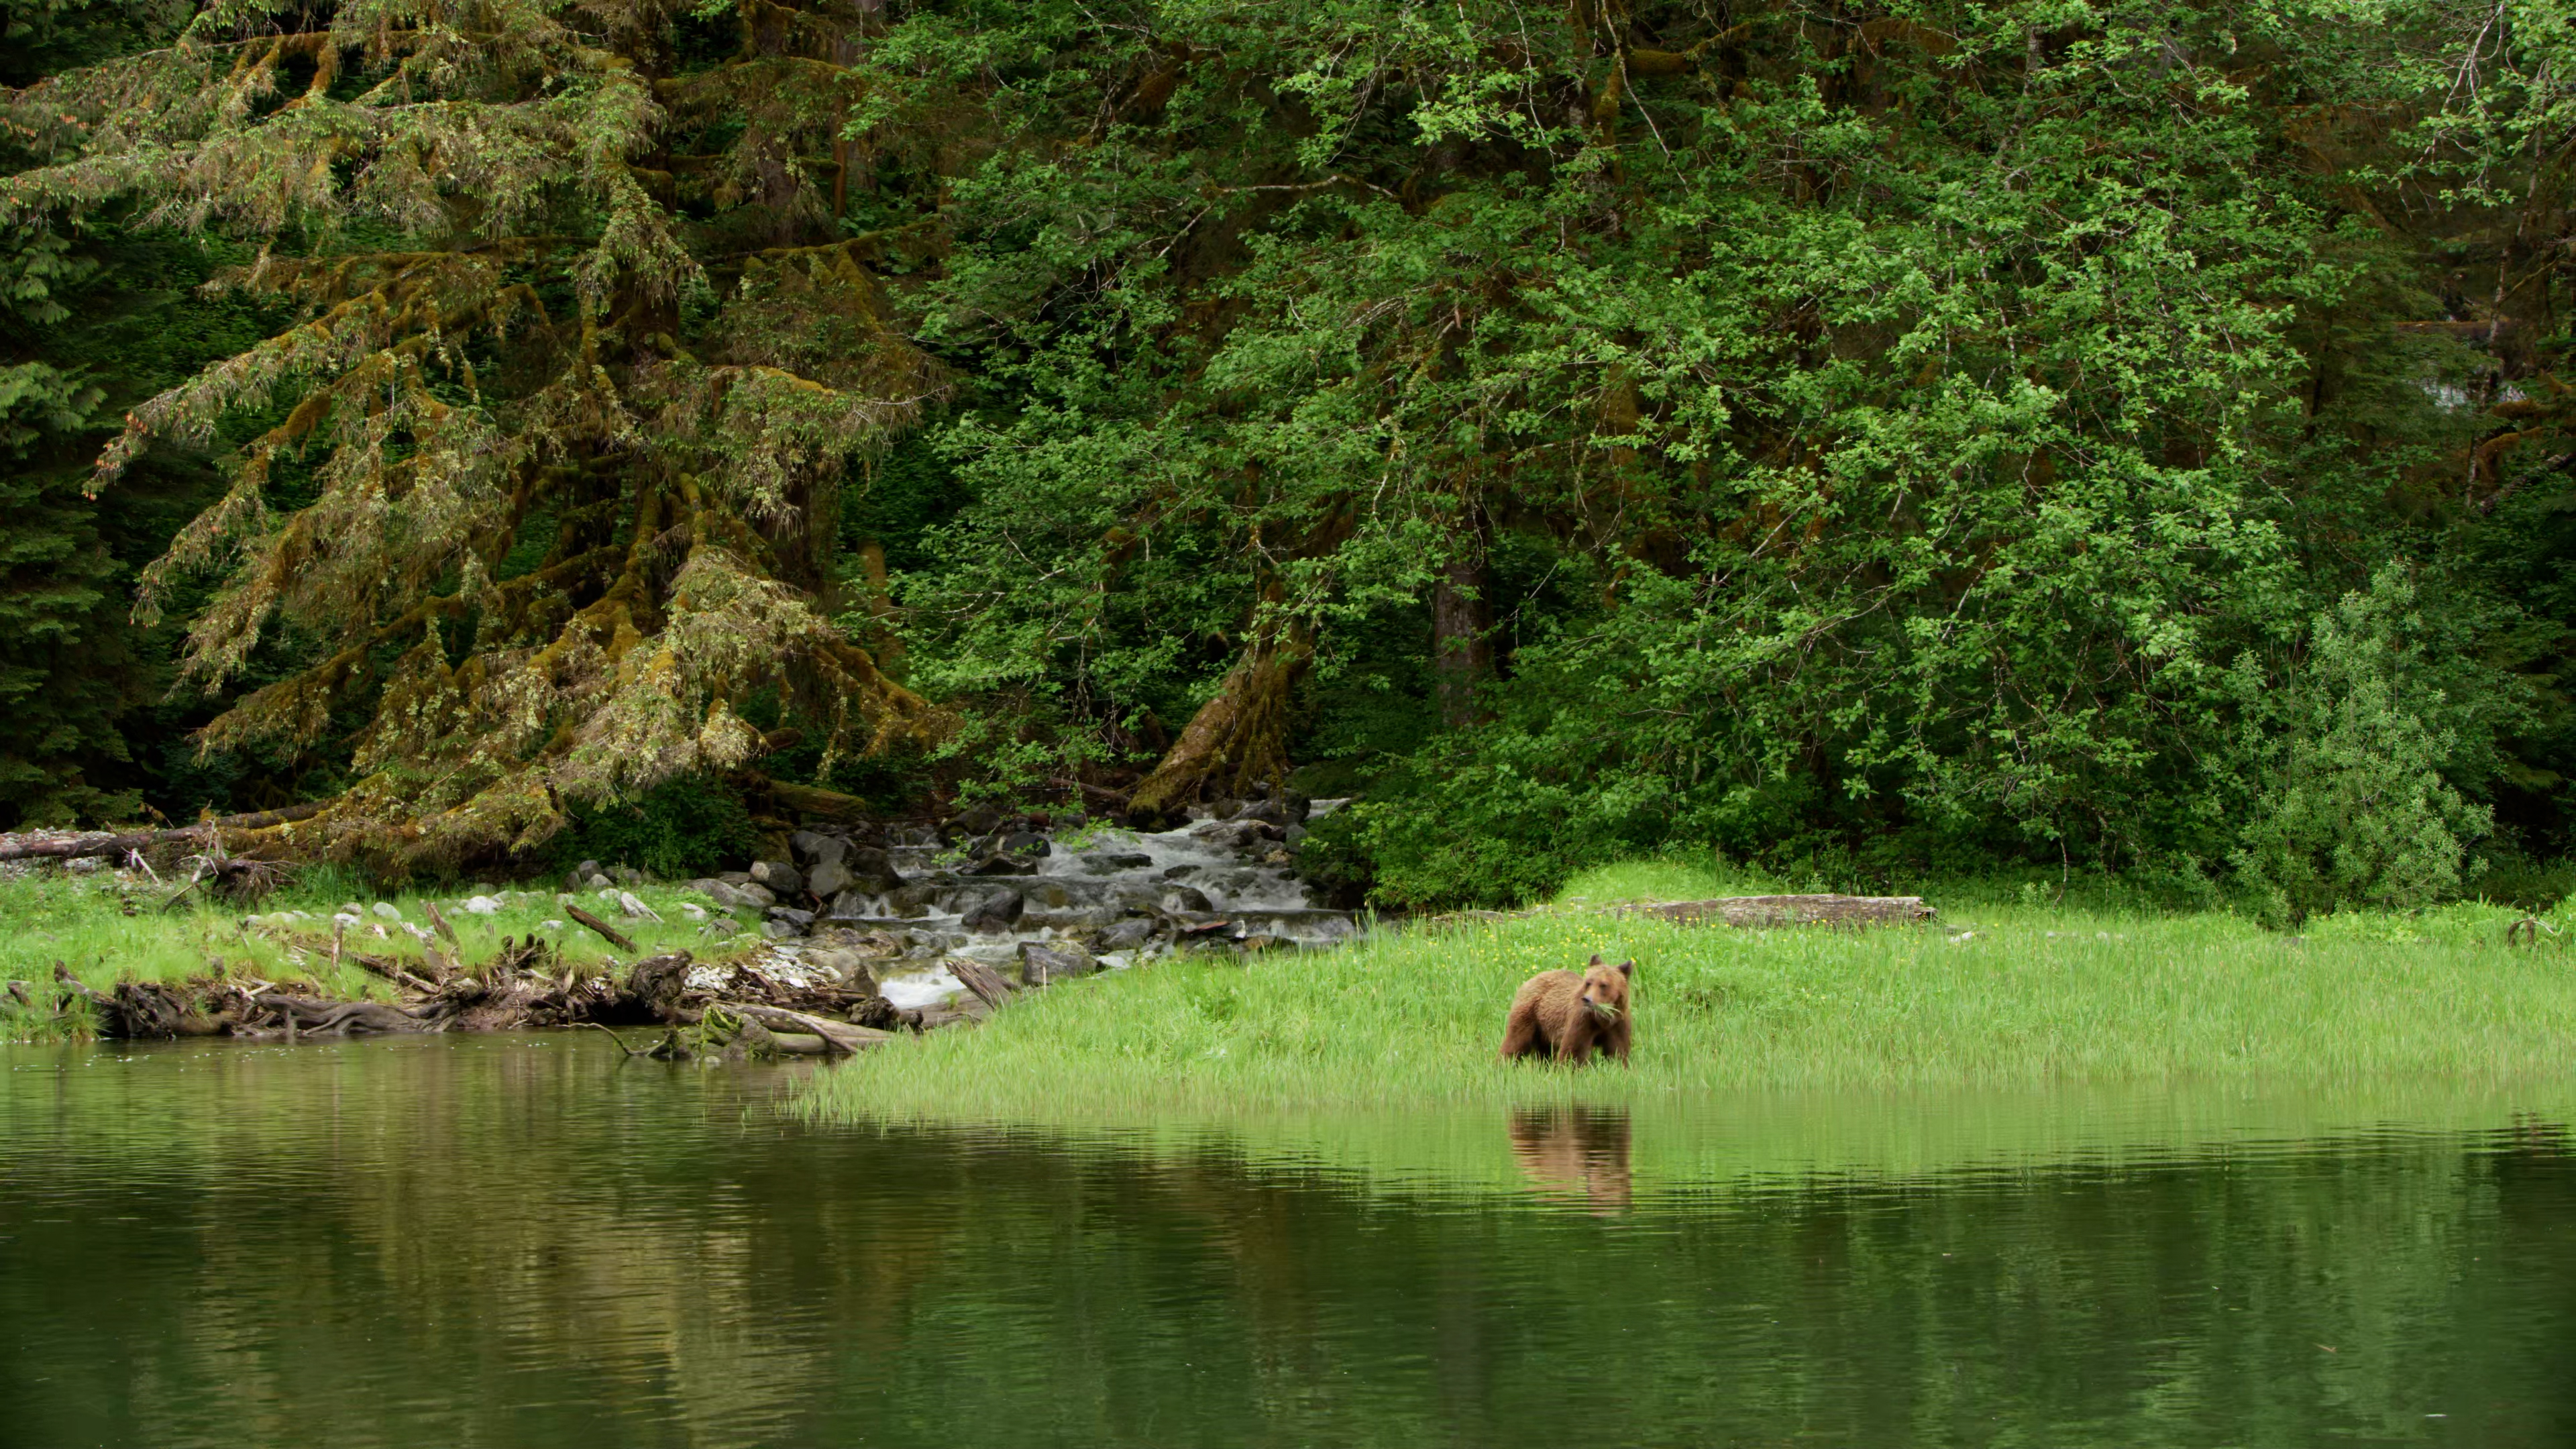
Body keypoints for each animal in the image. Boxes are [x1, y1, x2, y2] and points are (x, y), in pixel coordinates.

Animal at [1497, 954, 1634, 1064]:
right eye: (1589, 982)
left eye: (1604, 985)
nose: (1587, 999)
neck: (1602, 1020)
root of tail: (1534, 977)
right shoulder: (1582, 1021)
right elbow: (1574, 1052)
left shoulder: (1618, 1023)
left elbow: (1618, 1051)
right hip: (1530, 1014)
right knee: (1516, 1041)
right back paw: (1503, 1064)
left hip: (1545, 1028)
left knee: (1544, 1052)